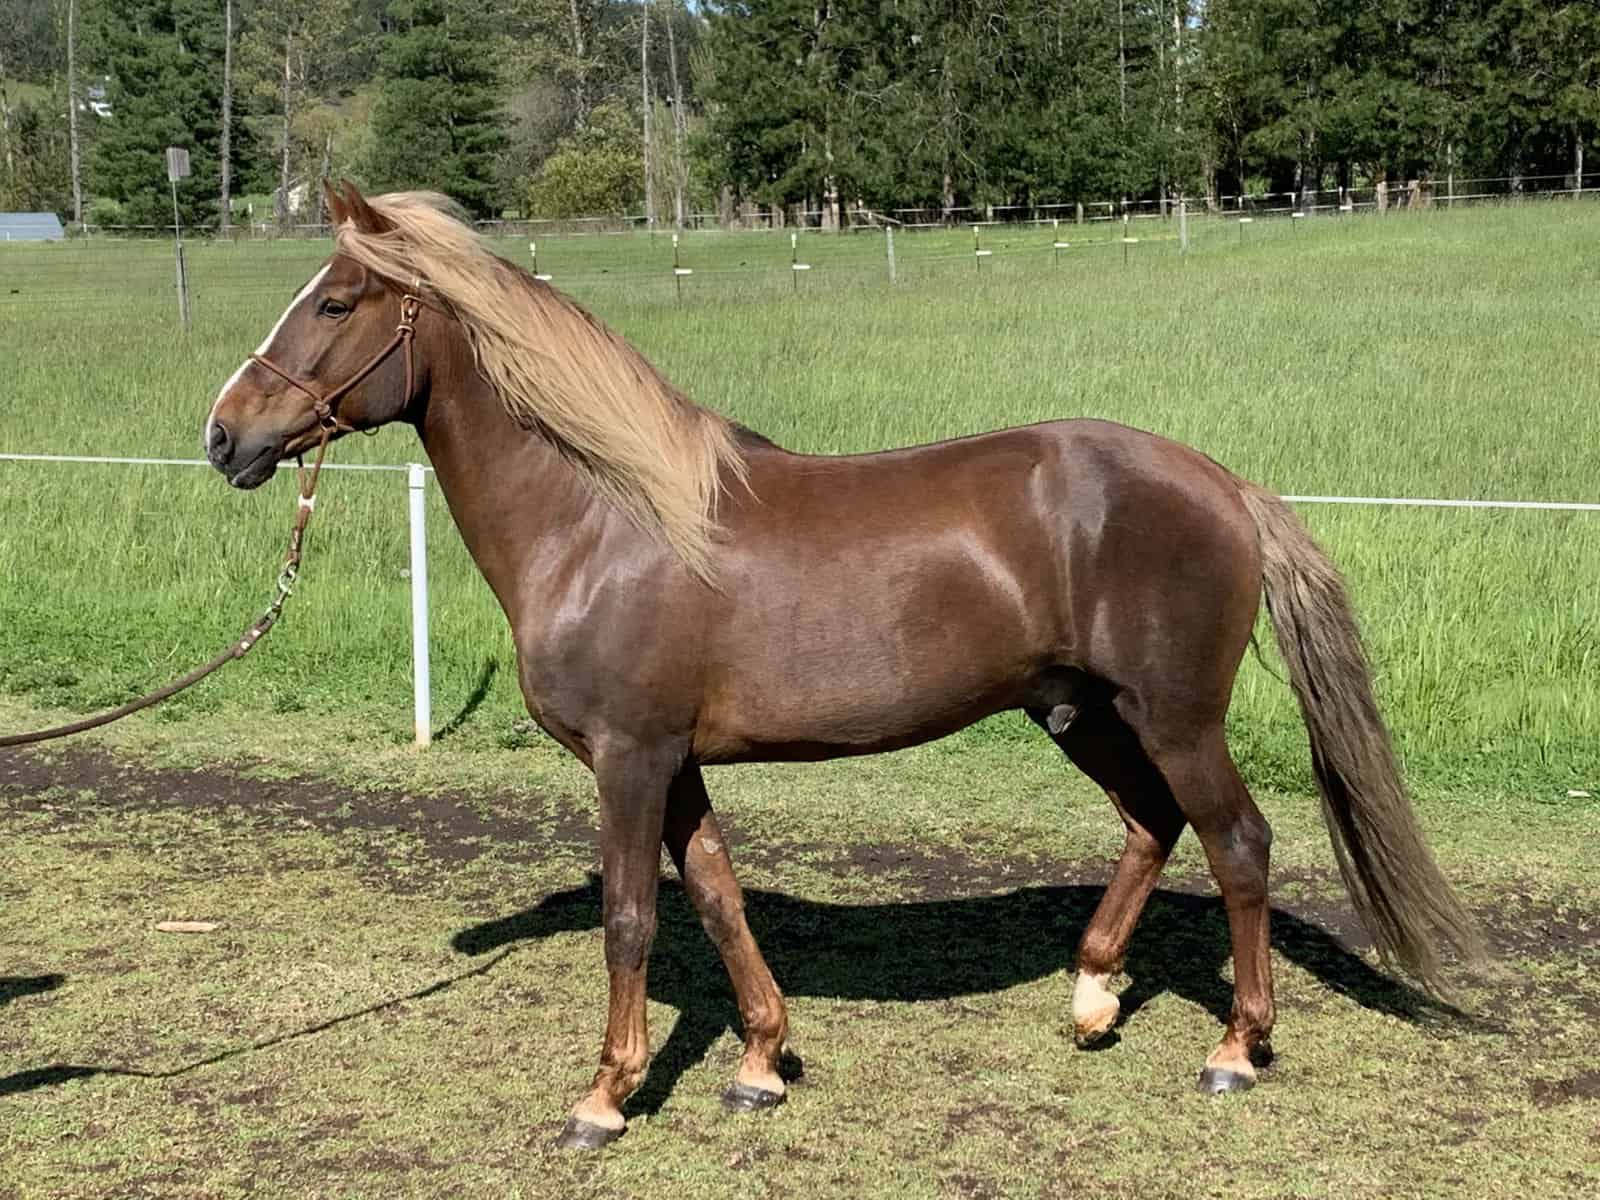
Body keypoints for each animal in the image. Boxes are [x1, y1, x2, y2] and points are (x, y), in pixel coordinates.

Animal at [204, 181, 1481, 1150]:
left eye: (335, 299)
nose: (224, 435)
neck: (607, 521)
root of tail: (1221, 482)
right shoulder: (677, 765)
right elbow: (717, 899)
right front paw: (761, 1064)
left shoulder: (628, 759)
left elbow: (632, 919)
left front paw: (604, 1099)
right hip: (1081, 714)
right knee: (1151, 826)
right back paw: (1091, 997)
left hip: (1172, 716)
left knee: (1238, 845)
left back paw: (1234, 1048)